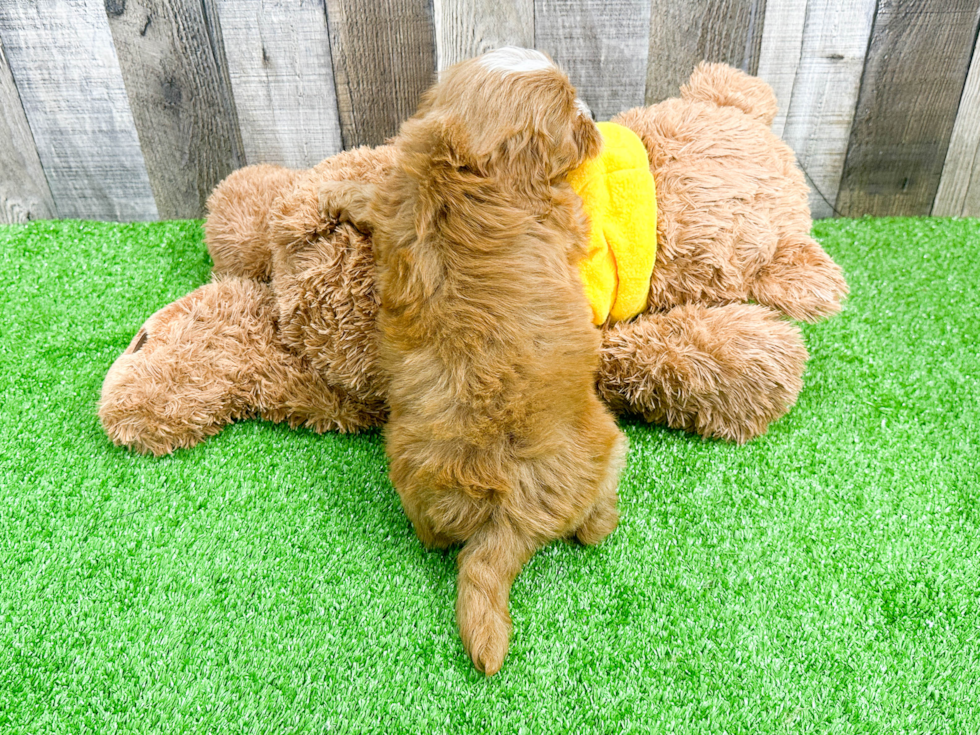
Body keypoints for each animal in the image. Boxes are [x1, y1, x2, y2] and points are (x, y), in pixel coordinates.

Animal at [326, 49, 624, 676]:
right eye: (570, 110)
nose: (595, 115)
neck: (465, 166)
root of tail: (507, 511)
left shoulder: (396, 203)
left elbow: (371, 197)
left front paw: (333, 194)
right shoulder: (564, 217)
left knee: (433, 539)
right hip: (611, 443)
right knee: (593, 524)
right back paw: (603, 523)